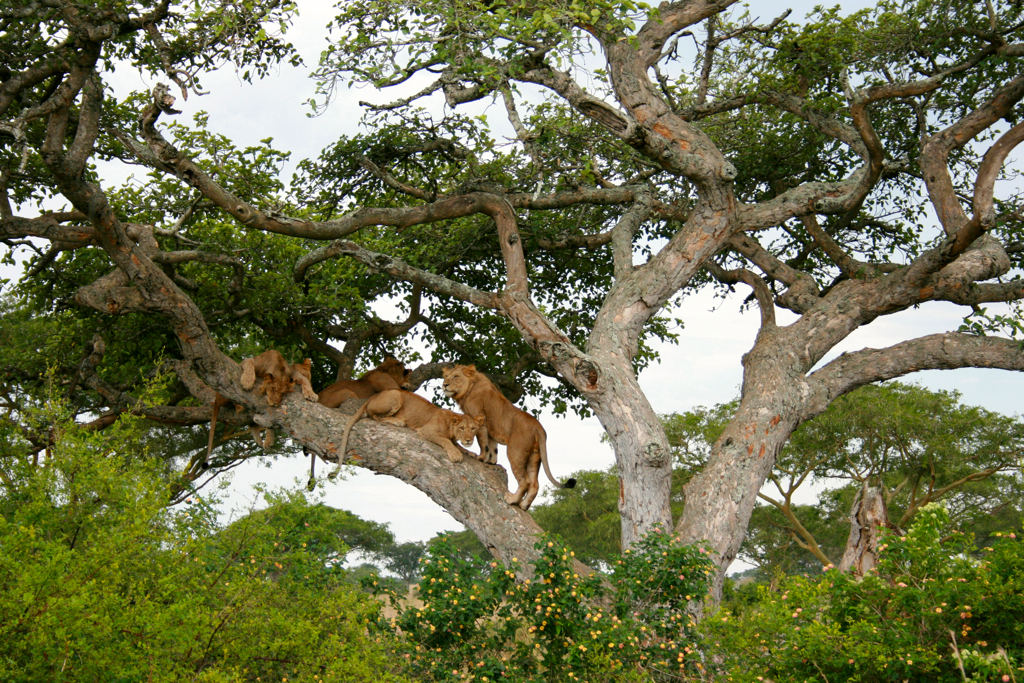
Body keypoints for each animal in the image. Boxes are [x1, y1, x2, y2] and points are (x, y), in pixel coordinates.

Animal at [331, 389, 483, 481]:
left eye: (473, 429)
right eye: (462, 428)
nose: (468, 440)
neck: (451, 424)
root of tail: (371, 397)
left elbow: (457, 444)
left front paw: (470, 452)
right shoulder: (426, 430)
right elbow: (446, 441)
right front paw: (456, 454)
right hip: (395, 395)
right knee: (374, 416)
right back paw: (397, 421)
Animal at [442, 366, 577, 509]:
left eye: (456, 376)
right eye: (446, 376)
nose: (444, 385)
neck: (469, 387)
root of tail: (539, 427)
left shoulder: (479, 419)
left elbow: (482, 442)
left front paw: (481, 458)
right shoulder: (491, 429)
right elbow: (492, 446)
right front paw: (491, 461)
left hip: (515, 452)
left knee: (525, 481)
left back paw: (512, 500)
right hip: (535, 456)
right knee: (534, 484)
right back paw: (523, 505)